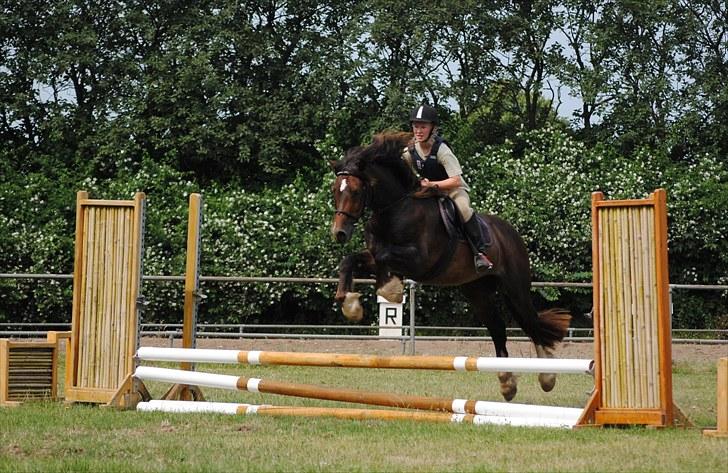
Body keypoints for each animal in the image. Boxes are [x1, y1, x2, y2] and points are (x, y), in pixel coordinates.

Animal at [328, 131, 572, 400]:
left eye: (356, 191)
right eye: (335, 190)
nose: (339, 233)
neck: (395, 209)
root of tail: (511, 233)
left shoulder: (419, 260)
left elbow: (383, 256)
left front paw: (389, 289)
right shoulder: (377, 255)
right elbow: (351, 260)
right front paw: (350, 303)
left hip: (515, 288)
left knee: (531, 323)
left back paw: (547, 377)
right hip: (477, 291)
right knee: (498, 328)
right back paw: (507, 383)